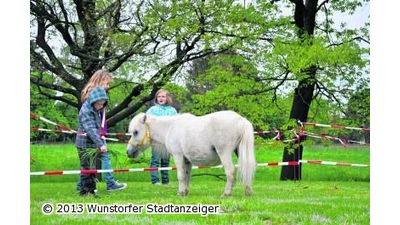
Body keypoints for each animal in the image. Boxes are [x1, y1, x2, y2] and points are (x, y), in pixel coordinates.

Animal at [126, 110, 256, 197]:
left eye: (135, 132)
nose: (128, 152)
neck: (170, 128)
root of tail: (241, 120)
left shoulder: (178, 156)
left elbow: (181, 175)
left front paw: (180, 193)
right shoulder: (187, 160)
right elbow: (187, 176)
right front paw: (185, 192)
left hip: (224, 153)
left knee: (230, 171)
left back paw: (226, 193)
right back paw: (248, 192)